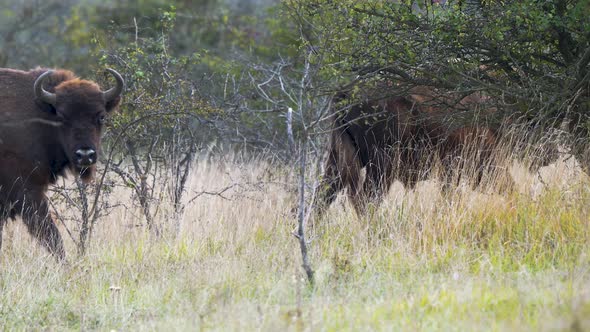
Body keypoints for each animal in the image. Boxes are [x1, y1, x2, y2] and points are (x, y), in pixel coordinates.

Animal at [314, 85, 556, 215]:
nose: (551, 154)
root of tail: (343, 94)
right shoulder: (483, 161)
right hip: (382, 164)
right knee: (365, 199)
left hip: (337, 161)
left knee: (322, 197)